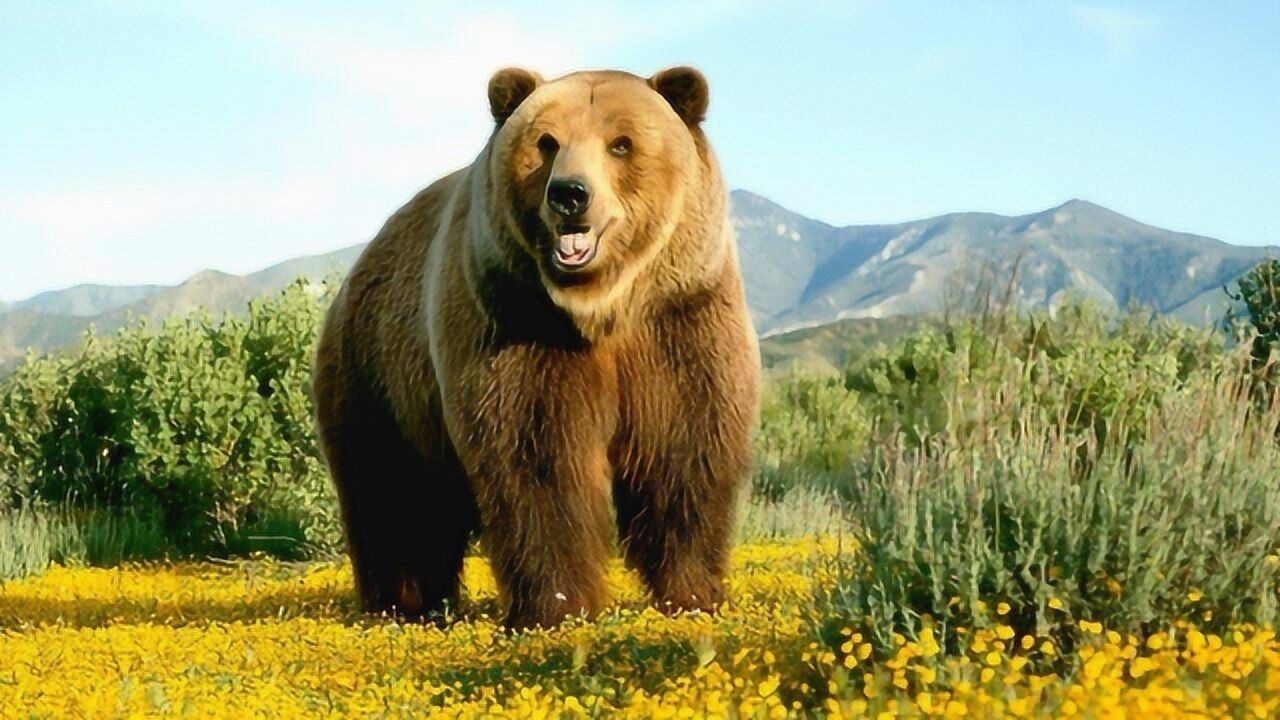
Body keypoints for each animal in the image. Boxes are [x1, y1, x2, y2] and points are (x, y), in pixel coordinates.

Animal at [313, 66, 760, 630]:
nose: (569, 193)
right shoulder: (515, 323)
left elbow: (685, 449)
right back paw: (401, 606)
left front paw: (693, 596)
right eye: (547, 142)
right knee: (392, 493)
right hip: (379, 374)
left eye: (621, 143)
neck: (602, 307)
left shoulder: (680, 318)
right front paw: (556, 607)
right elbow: (538, 459)